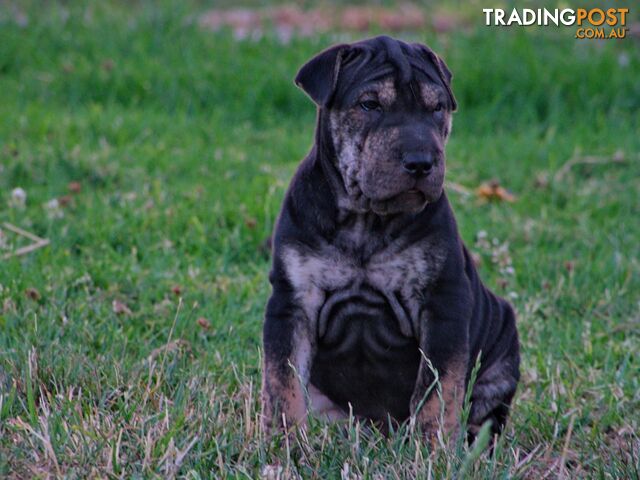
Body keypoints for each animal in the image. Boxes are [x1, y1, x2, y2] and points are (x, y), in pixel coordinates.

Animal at [262, 35, 516, 442]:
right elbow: (282, 381)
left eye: (436, 107)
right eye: (370, 105)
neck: (365, 219)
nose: (421, 162)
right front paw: (283, 444)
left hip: (503, 342)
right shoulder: (292, 302)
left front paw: (432, 447)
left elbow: (438, 387)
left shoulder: (443, 303)